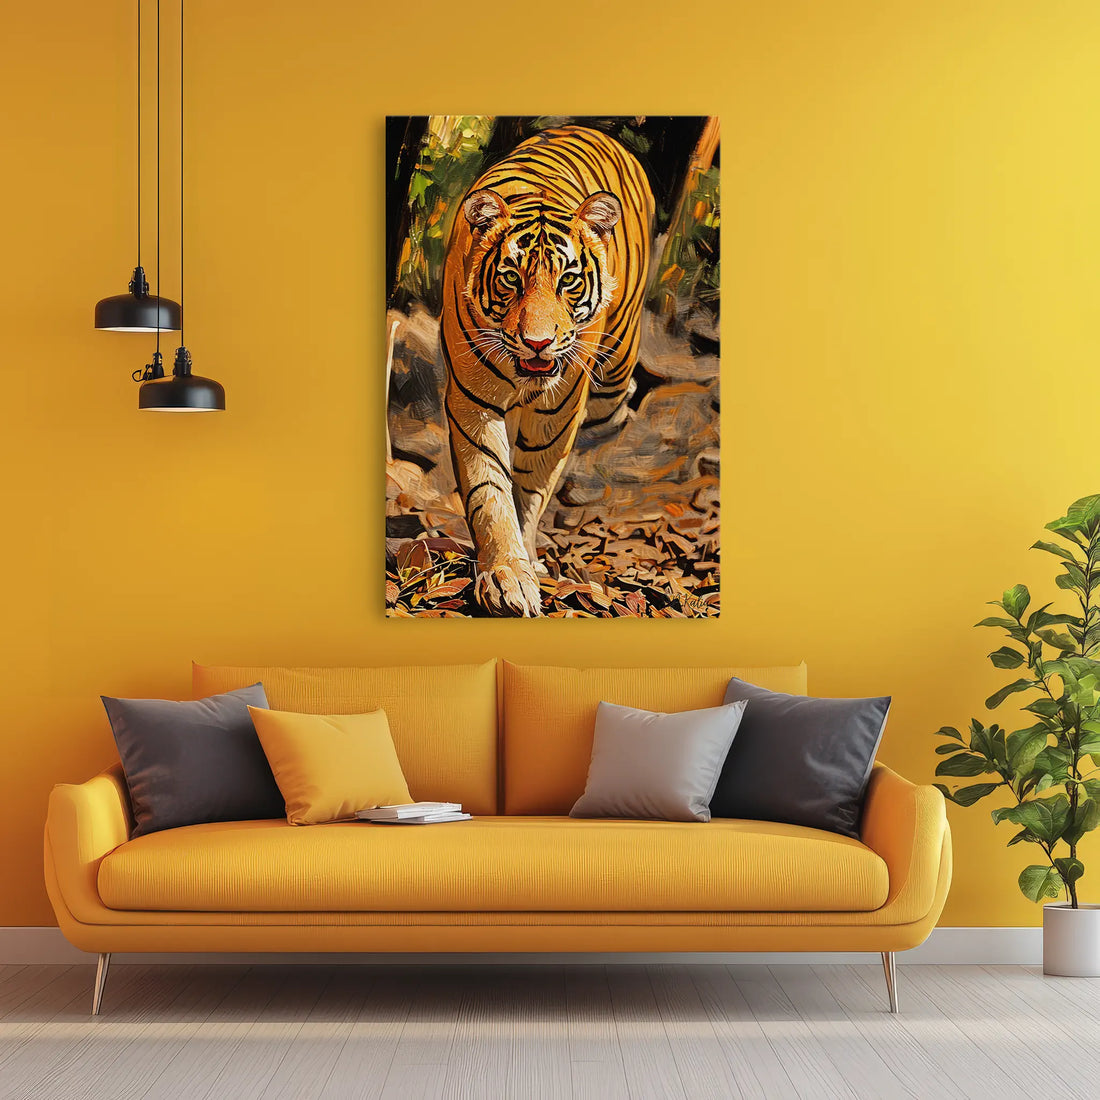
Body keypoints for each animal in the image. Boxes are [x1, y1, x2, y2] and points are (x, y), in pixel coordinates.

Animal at [441, 125, 655, 617]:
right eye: (511, 279)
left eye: (568, 280)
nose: (537, 342)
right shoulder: (472, 402)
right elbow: (489, 490)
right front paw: (506, 575)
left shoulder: (558, 409)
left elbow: (530, 486)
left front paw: (525, 559)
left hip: (615, 368)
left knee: (615, 405)